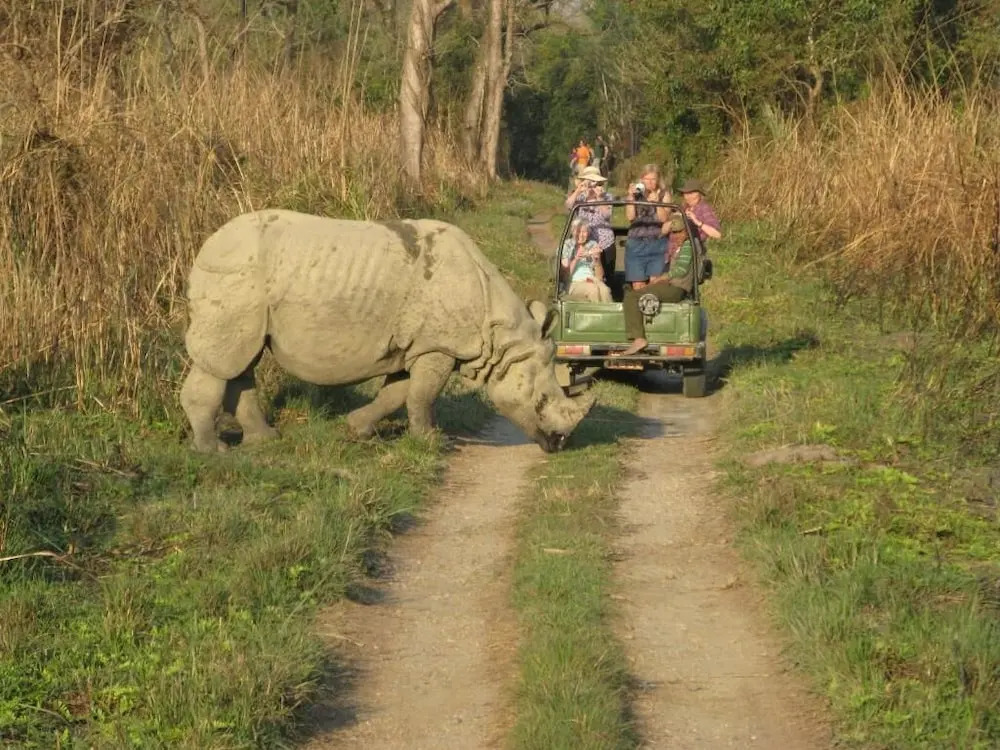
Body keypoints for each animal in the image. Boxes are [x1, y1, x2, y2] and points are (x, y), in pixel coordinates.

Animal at [180, 209, 594, 453]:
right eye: (542, 399)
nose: (559, 444)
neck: (503, 341)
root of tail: (204, 247)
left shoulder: (415, 345)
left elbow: (397, 394)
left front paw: (356, 429)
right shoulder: (438, 347)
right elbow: (422, 396)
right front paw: (432, 440)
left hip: (246, 285)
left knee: (241, 361)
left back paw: (264, 441)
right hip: (236, 275)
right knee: (224, 362)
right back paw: (213, 452)